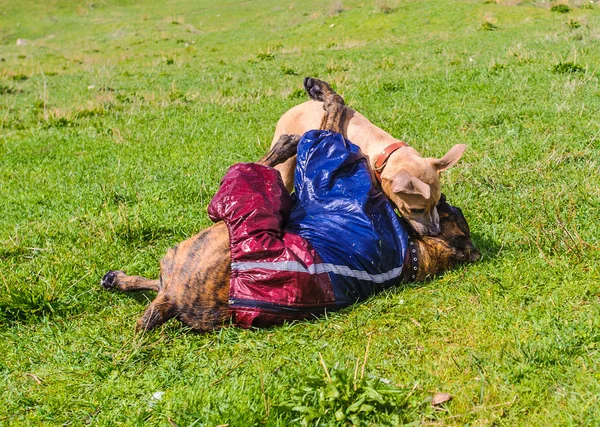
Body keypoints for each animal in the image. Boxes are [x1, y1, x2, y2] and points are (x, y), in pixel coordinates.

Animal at [274, 77, 466, 237]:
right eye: (415, 210)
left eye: (436, 202)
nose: (435, 232)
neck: (383, 154)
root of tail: (295, 107)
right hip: (284, 170)